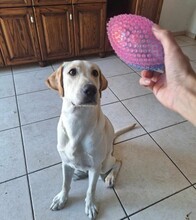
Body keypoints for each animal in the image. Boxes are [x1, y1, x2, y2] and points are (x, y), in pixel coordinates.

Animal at [46, 59, 136, 219]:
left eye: (95, 72)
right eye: (72, 72)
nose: (91, 90)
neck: (78, 120)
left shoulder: (95, 166)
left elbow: (91, 189)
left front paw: (90, 205)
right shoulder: (65, 162)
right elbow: (65, 183)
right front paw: (62, 199)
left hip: (105, 162)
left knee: (117, 162)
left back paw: (110, 177)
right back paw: (80, 172)